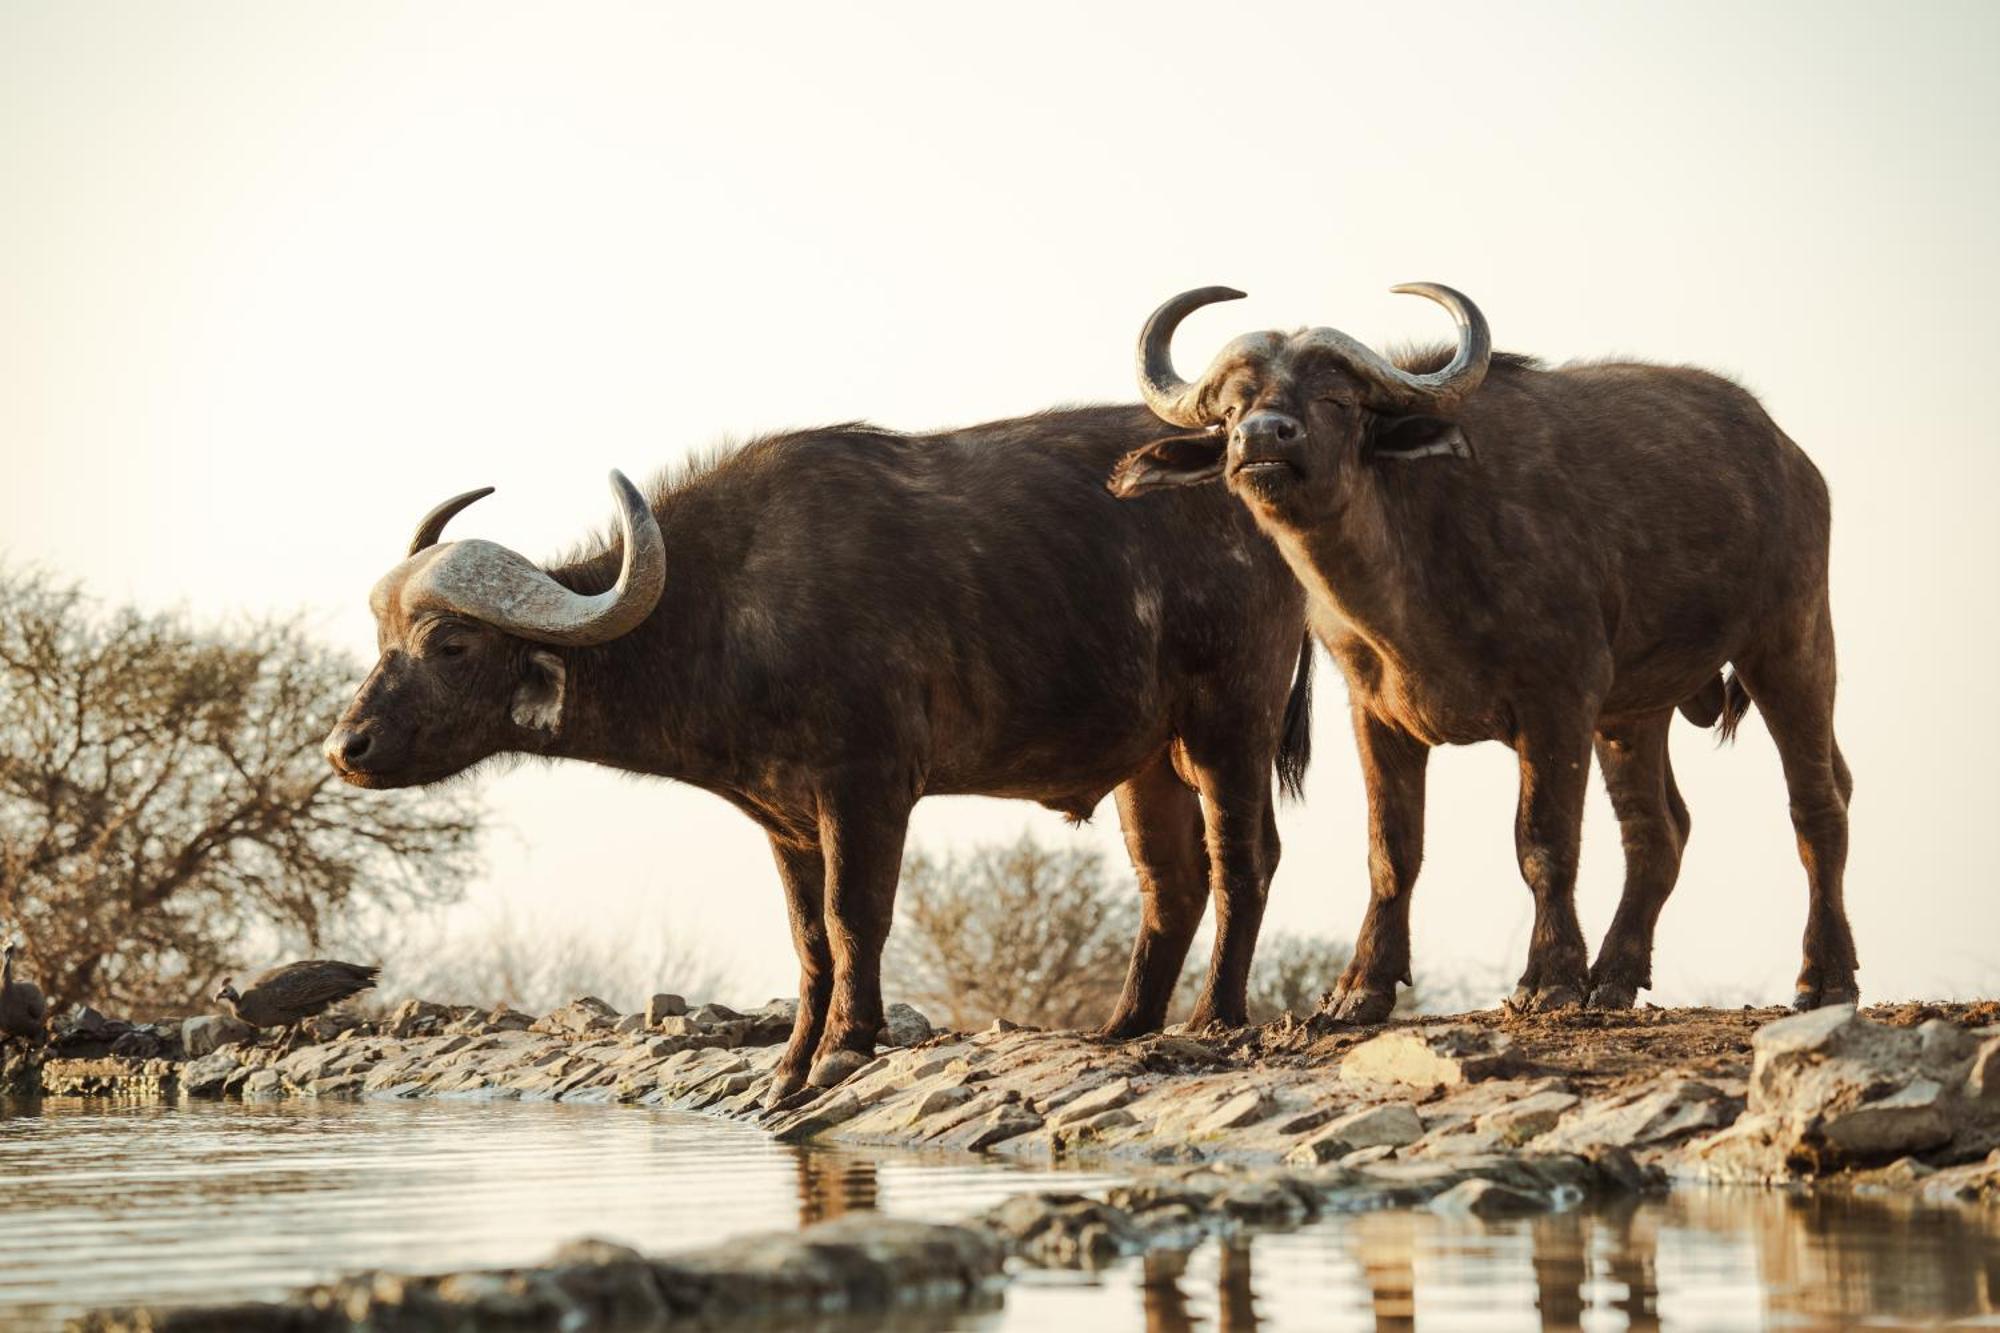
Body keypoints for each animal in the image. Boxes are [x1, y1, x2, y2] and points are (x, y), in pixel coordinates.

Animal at [324, 408, 1312, 1096]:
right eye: (382, 642)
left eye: (450, 644)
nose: (347, 746)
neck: (728, 608)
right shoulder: (786, 818)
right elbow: (807, 937)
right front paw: (791, 1060)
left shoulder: (867, 787)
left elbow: (853, 915)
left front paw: (844, 1046)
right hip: (1151, 757)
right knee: (1170, 881)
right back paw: (1124, 1025)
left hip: (1230, 718)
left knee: (1245, 857)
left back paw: (1214, 1015)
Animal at [1112, 278, 1856, 1008]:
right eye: (1231, 408)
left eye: (1336, 398)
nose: (1264, 435)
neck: (1410, 581)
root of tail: (1793, 461)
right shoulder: (1375, 714)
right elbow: (1392, 851)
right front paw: (1362, 984)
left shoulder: (1559, 700)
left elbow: (1544, 841)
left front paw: (1550, 976)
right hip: (1634, 711)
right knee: (1657, 829)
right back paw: (1615, 977)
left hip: (1791, 643)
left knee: (1818, 802)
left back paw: (1824, 976)